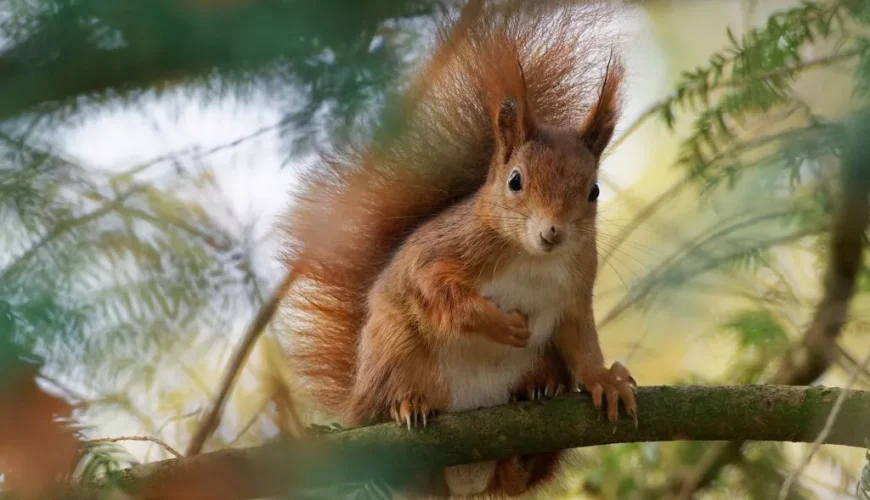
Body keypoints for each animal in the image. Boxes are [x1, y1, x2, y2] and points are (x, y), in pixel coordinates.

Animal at [280, 0, 640, 496]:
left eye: (594, 191)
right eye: (515, 181)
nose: (553, 232)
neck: (533, 259)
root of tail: (466, 478)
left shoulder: (574, 293)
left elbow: (581, 344)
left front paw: (605, 380)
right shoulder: (444, 252)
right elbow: (439, 292)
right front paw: (501, 324)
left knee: (515, 479)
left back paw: (536, 402)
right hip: (396, 349)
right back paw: (407, 406)